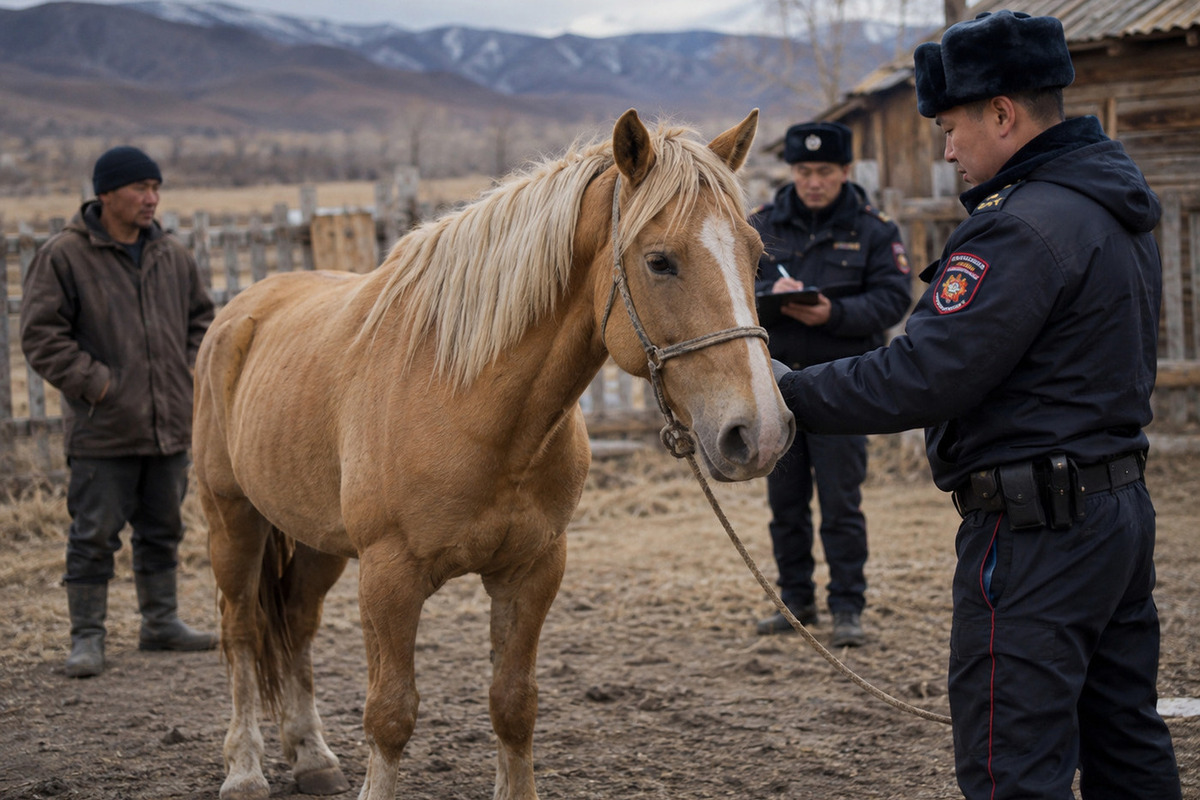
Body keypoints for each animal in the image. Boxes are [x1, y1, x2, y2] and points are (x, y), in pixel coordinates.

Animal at [192, 107, 796, 800]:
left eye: (755, 256)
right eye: (660, 261)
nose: (760, 431)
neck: (470, 401)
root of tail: (241, 308)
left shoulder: (532, 570)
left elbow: (513, 704)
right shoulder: (389, 578)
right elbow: (390, 714)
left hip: (318, 540)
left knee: (295, 622)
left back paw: (312, 756)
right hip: (232, 520)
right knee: (240, 632)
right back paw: (244, 769)